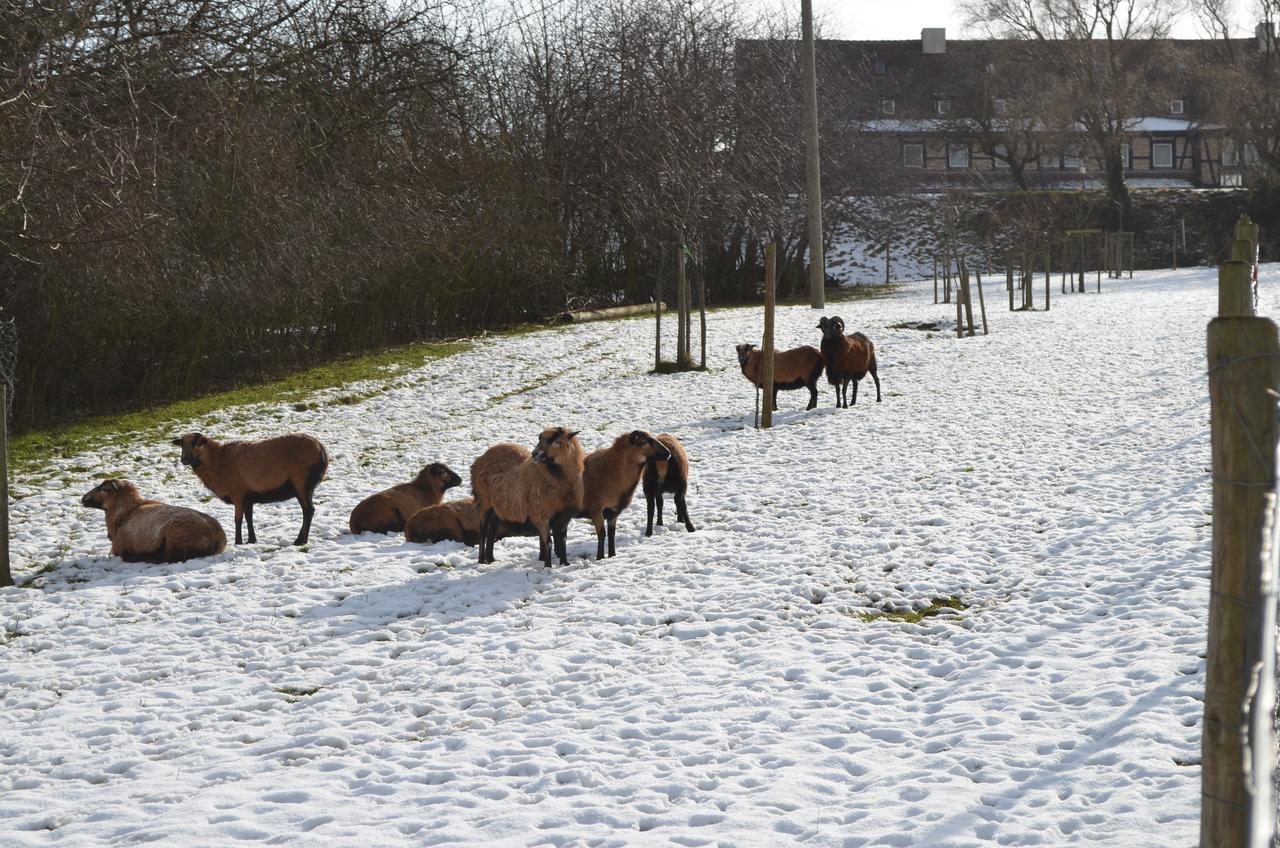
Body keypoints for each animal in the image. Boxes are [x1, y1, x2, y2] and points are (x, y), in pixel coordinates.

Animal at [81, 479, 226, 563]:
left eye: (104, 489)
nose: (83, 498)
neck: (127, 511)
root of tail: (217, 537)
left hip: (174, 535)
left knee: (168, 557)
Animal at [171, 435, 327, 548]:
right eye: (181, 444)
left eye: (196, 443)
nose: (183, 459)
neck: (218, 462)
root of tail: (321, 450)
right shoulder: (249, 497)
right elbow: (249, 518)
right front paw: (251, 540)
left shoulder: (238, 494)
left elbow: (238, 520)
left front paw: (238, 542)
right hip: (306, 486)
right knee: (308, 510)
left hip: (302, 483)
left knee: (308, 510)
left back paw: (300, 540)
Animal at [471, 427, 586, 568]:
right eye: (540, 439)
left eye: (557, 441)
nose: (535, 454)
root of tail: (478, 460)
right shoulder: (541, 517)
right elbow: (548, 543)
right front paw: (547, 567)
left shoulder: (563, 518)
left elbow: (563, 541)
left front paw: (565, 563)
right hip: (484, 503)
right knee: (482, 533)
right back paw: (481, 561)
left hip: (498, 509)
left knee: (492, 530)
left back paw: (491, 559)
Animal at [581, 432, 675, 563]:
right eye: (644, 442)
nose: (668, 453)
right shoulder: (596, 510)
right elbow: (602, 534)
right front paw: (600, 558)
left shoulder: (613, 512)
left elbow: (611, 534)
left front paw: (612, 555)